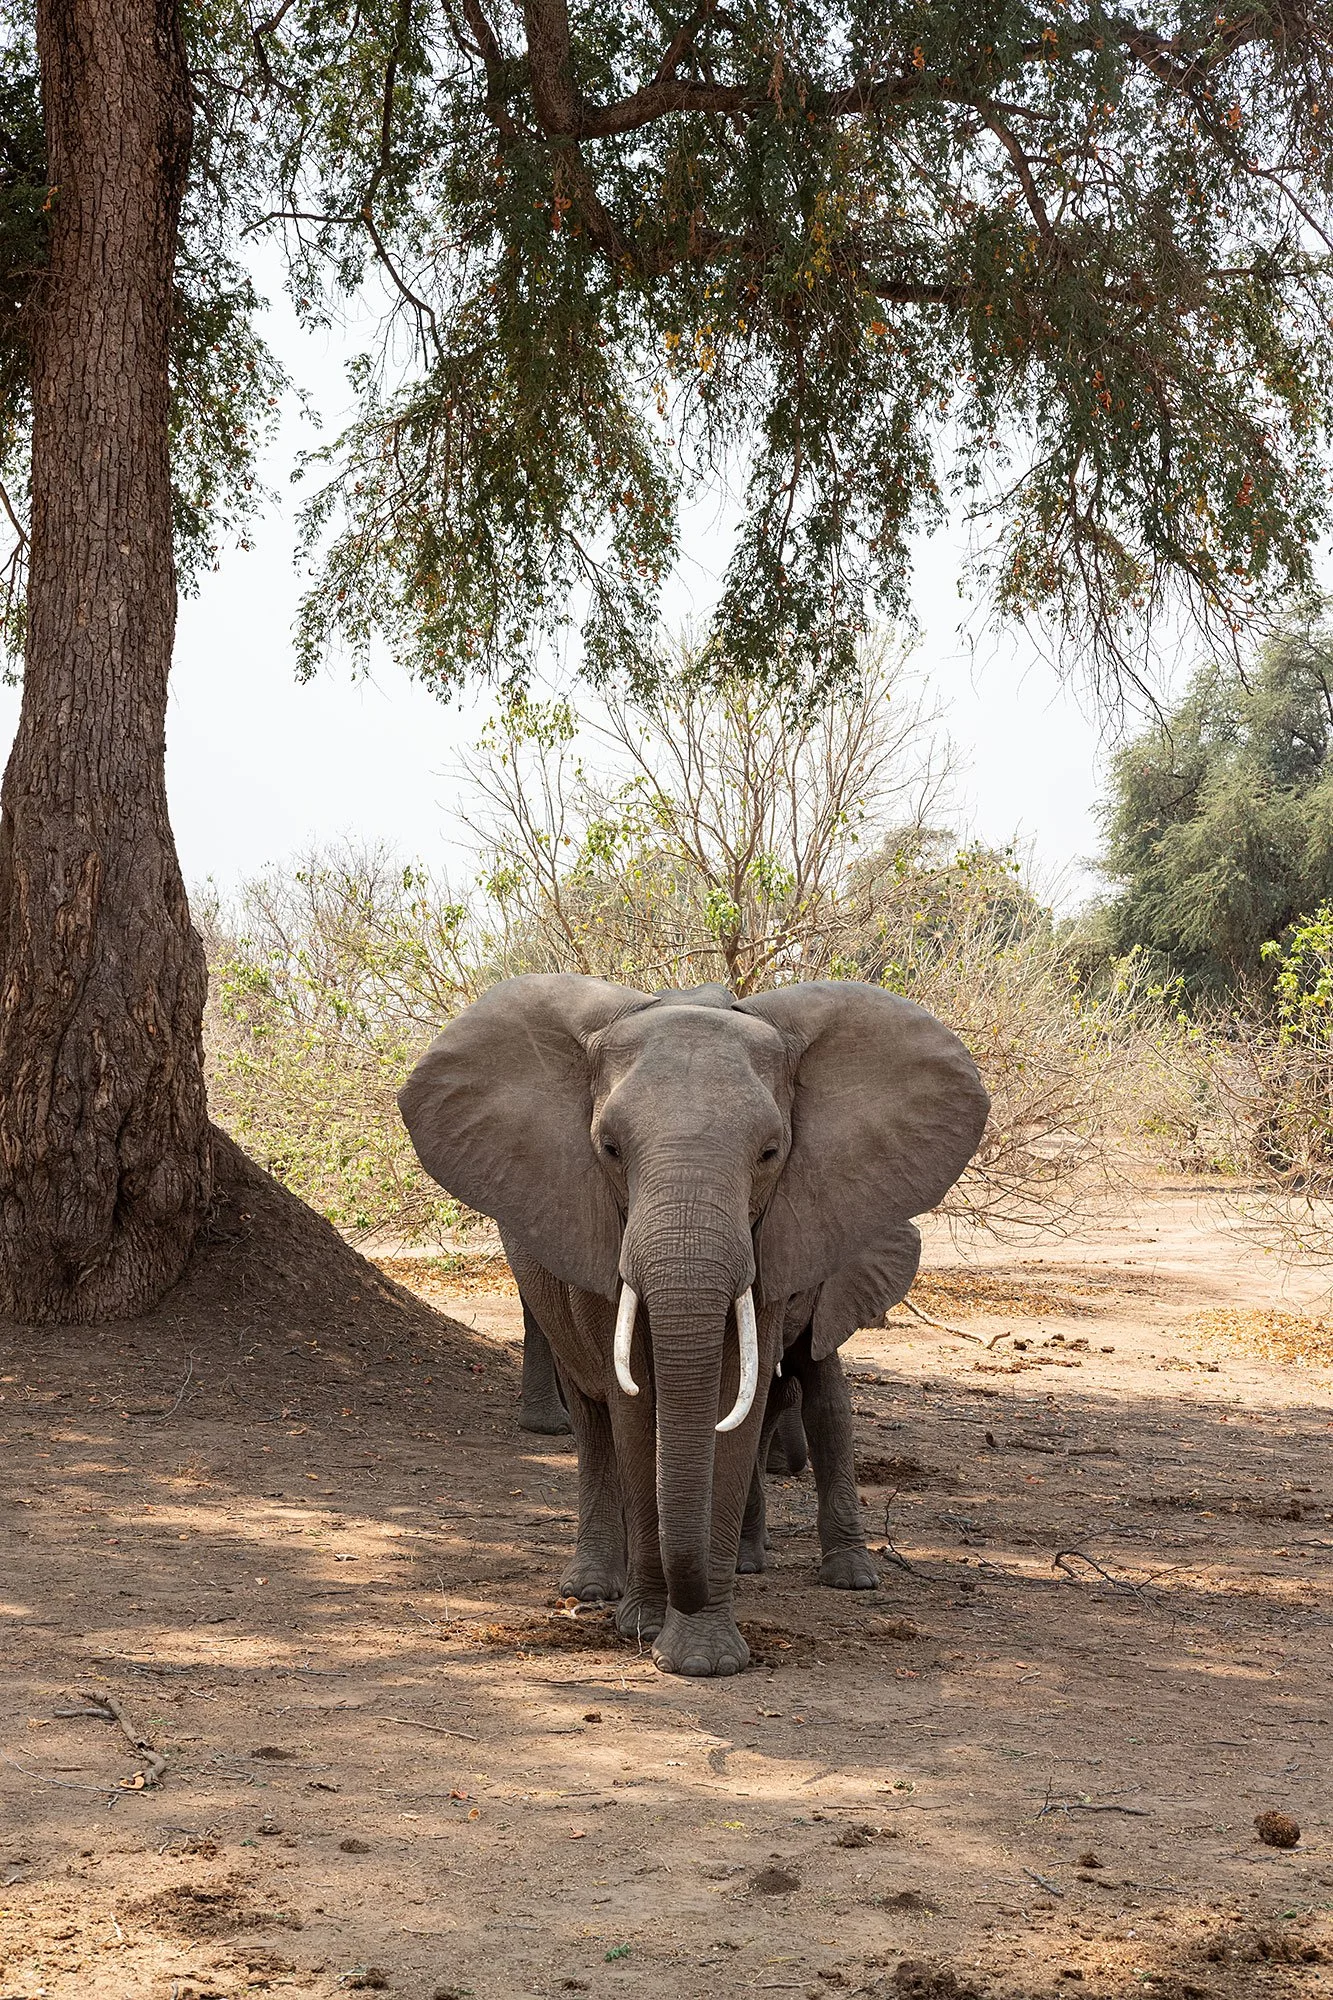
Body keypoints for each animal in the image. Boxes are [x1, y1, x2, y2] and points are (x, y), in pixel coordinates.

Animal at [399, 975, 988, 1676]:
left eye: (770, 1153)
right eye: (609, 1150)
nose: (674, 1607)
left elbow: (745, 1398)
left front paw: (703, 1656)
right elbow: (636, 1404)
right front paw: (646, 1627)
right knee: (593, 1418)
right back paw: (593, 1589)